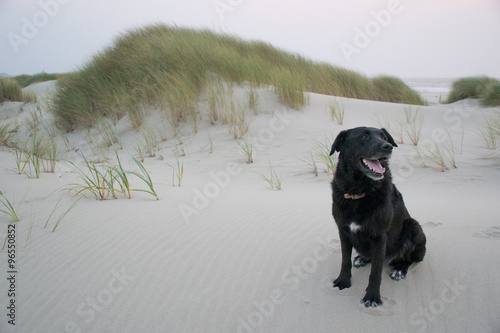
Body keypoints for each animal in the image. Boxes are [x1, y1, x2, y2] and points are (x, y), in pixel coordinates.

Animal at [330, 126, 424, 306]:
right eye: (364, 136)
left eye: (384, 137)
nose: (388, 147)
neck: (358, 192)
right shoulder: (343, 231)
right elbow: (345, 261)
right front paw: (343, 281)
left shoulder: (380, 237)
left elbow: (376, 272)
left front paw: (372, 297)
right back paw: (362, 258)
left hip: (413, 226)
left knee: (411, 258)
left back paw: (399, 269)